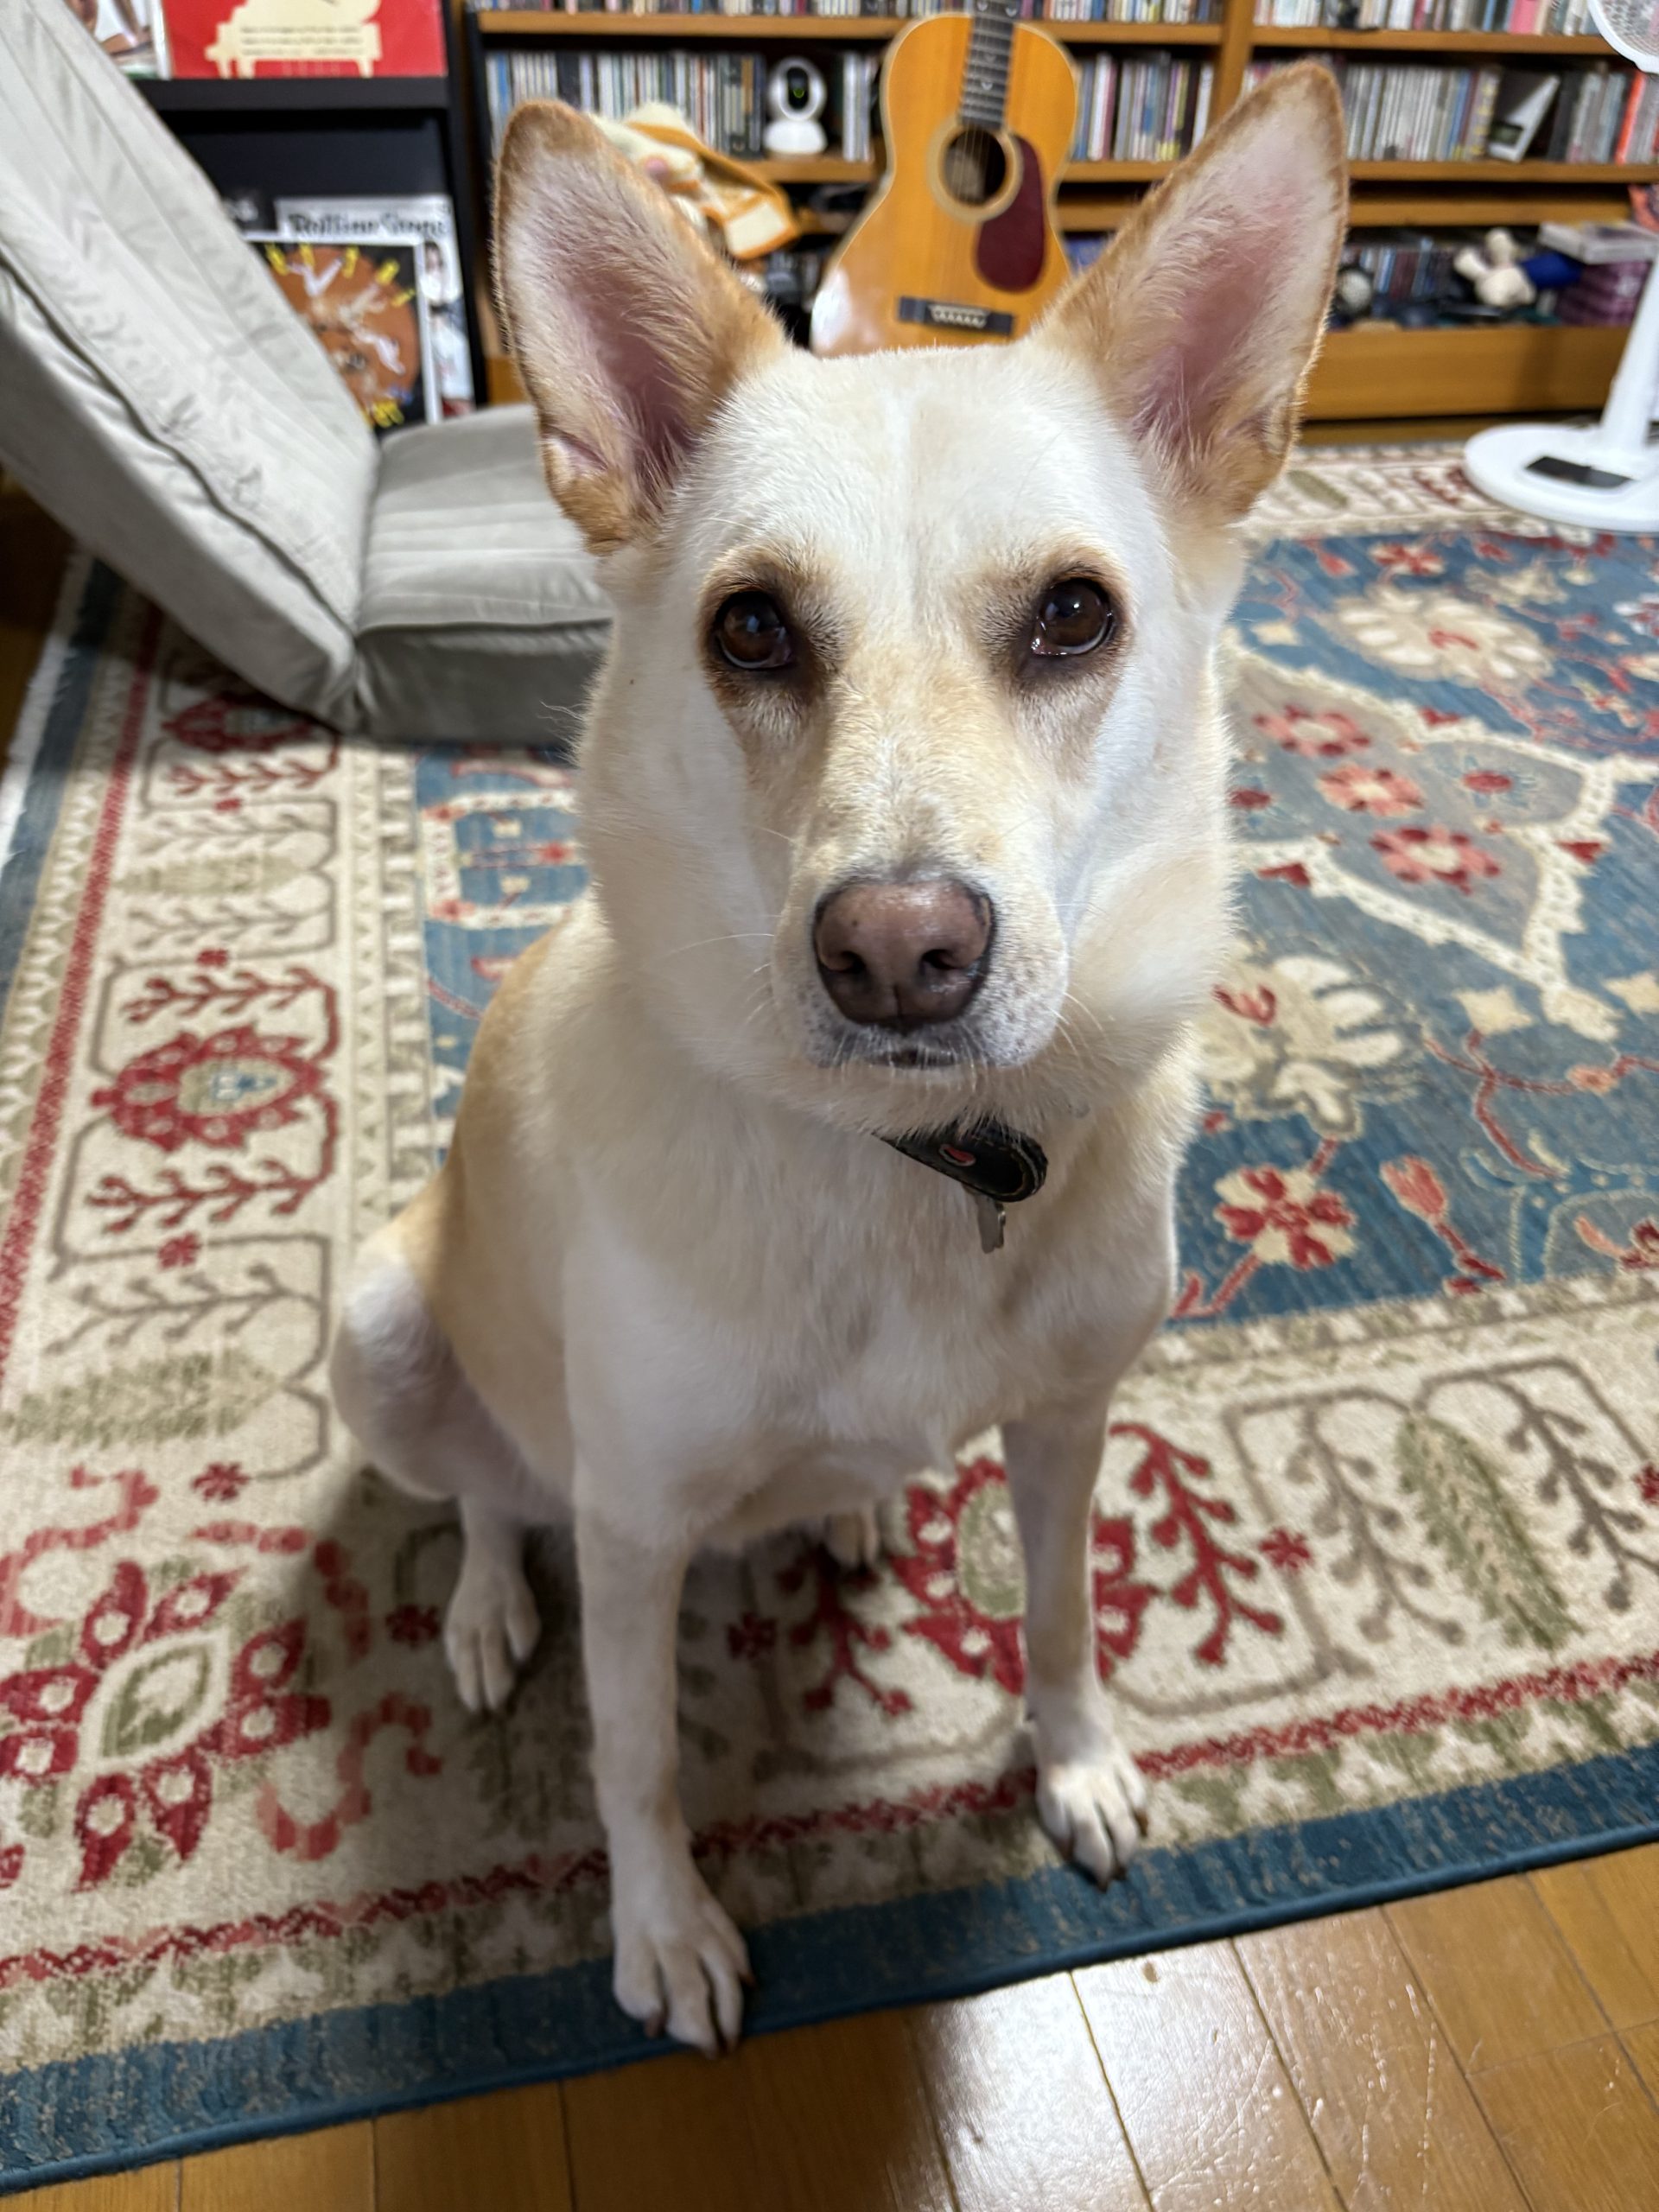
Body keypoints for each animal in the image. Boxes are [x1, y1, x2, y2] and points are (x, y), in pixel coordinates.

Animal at [330, 64, 1346, 2056]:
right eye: (750, 628)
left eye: (1074, 615)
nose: (898, 953)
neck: (909, 1155)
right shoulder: (634, 1529)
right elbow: (635, 1751)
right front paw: (662, 1930)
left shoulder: (1069, 1422)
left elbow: (1061, 1611)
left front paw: (1076, 1763)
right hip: (389, 1327)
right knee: (487, 1492)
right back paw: (482, 1611)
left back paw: (859, 1506)